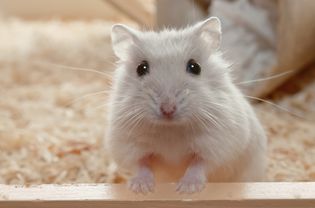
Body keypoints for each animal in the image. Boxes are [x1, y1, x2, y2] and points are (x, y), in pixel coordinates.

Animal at [105, 17, 266, 194]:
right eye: (141, 68)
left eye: (195, 67)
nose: (168, 109)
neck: (171, 129)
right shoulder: (128, 145)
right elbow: (141, 164)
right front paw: (141, 188)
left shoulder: (218, 144)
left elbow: (199, 164)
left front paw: (186, 189)